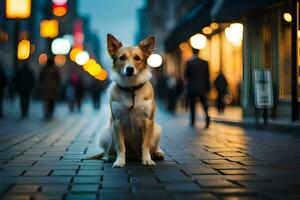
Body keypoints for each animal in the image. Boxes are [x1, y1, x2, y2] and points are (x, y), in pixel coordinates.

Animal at [95, 34, 164, 167]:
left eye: (137, 58)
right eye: (122, 58)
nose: (130, 69)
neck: (131, 88)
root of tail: (133, 156)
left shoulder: (148, 122)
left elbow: (145, 145)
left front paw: (147, 159)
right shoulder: (117, 122)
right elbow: (120, 146)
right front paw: (119, 161)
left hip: (157, 129)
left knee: (153, 148)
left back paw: (157, 154)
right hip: (106, 132)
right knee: (109, 149)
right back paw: (109, 157)